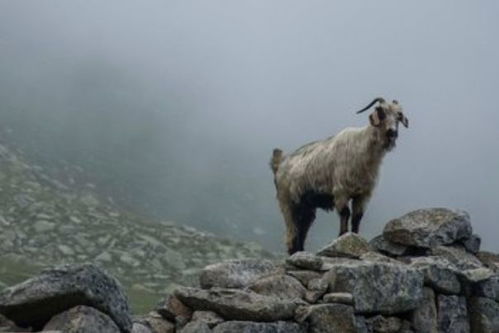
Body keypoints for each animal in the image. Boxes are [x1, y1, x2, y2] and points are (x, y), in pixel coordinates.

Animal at [272, 97, 408, 253]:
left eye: (398, 115)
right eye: (381, 112)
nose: (392, 133)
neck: (362, 147)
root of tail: (279, 164)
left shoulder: (363, 194)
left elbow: (357, 218)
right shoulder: (340, 192)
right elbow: (345, 213)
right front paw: (342, 238)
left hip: (307, 207)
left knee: (302, 231)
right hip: (287, 203)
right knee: (291, 234)